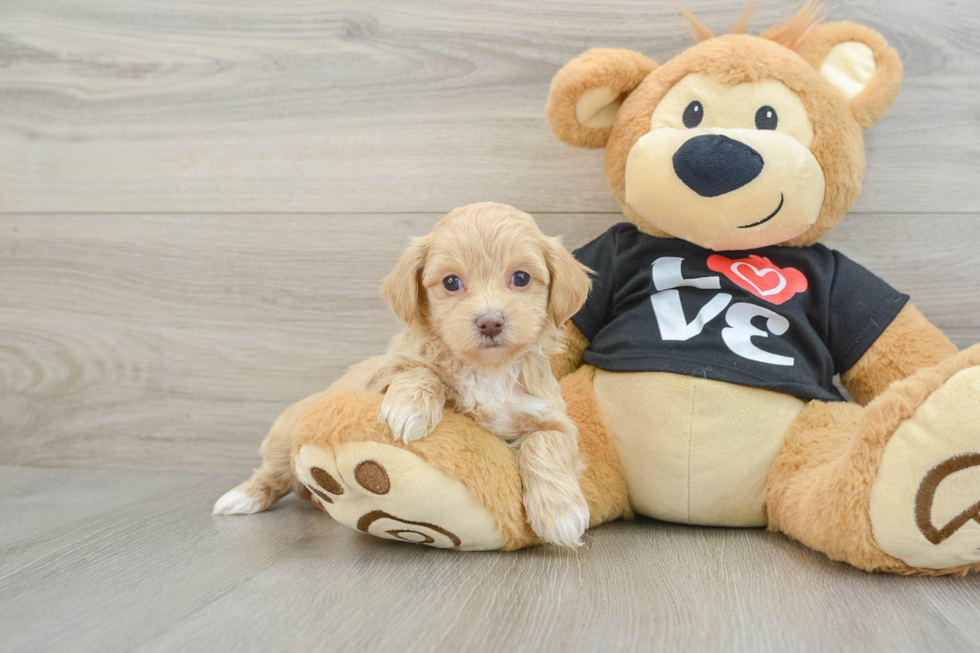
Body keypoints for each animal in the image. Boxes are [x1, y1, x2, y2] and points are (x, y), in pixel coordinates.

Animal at [368, 202, 592, 544]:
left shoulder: (554, 419)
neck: (491, 371)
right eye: (451, 282)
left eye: (521, 277)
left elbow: (545, 443)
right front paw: (410, 409)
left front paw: (561, 515)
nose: (490, 322)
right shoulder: (384, 373)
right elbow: (418, 369)